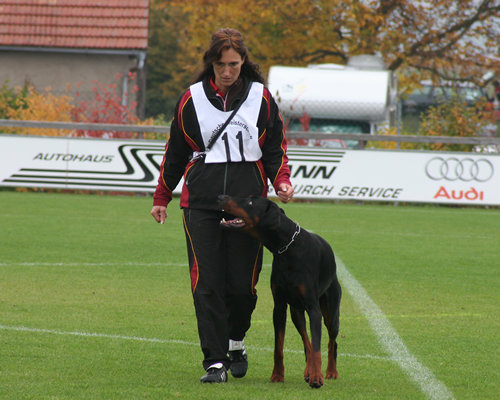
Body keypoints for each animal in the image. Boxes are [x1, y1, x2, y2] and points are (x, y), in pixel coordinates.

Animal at [217, 195, 342, 390]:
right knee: (306, 340)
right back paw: (308, 371)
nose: (220, 197)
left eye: (251, 202)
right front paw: (277, 375)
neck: (288, 250)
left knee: (332, 341)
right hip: (296, 312)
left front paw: (317, 377)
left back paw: (330, 372)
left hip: (331, 311)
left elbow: (317, 347)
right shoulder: (279, 307)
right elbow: (279, 347)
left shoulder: (314, 309)